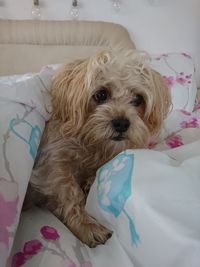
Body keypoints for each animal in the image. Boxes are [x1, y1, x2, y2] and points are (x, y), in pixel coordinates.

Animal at [27, 49, 171, 249]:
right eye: (101, 94)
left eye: (137, 99)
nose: (121, 123)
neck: (92, 145)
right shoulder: (53, 163)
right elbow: (71, 193)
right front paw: (87, 225)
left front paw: (89, 183)